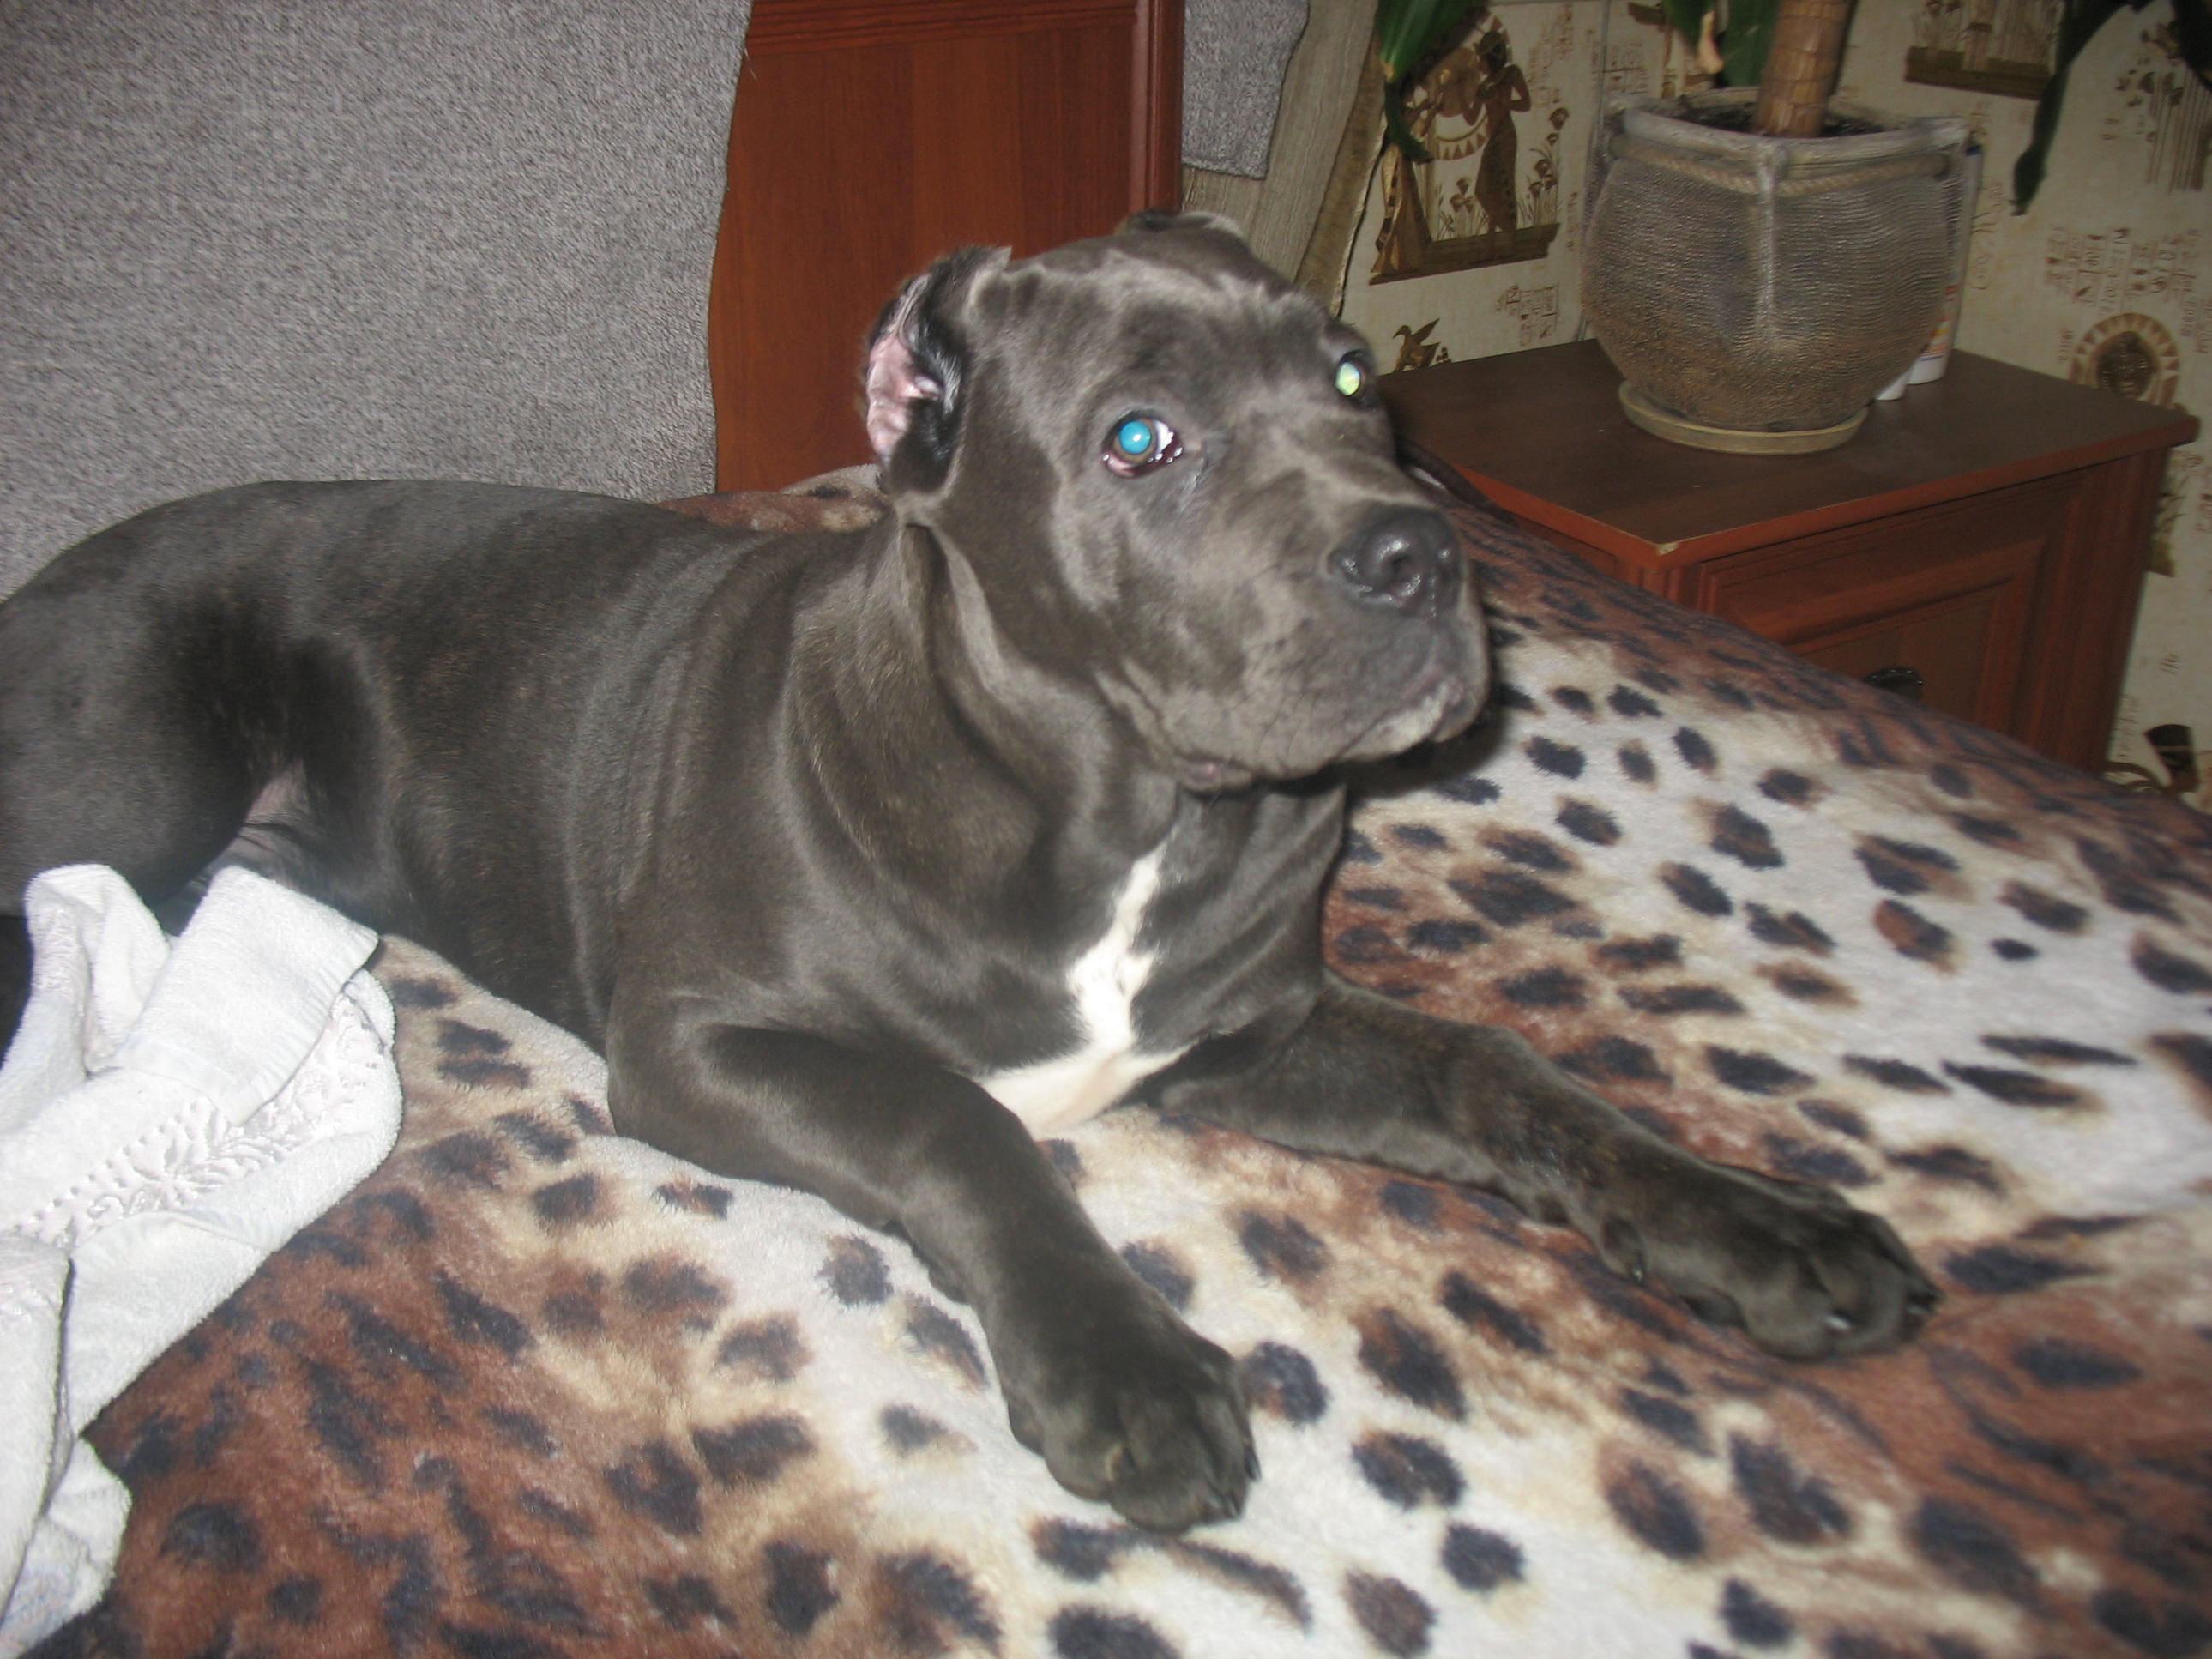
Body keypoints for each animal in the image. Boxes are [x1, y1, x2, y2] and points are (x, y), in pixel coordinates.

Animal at [0, 214, 1935, 1532]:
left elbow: (1497, 1067)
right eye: (1140, 439)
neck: (1121, 804)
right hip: (127, 778)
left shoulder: (1252, 1030)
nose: (1419, 552)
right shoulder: (701, 1041)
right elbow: (961, 1121)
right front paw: (1122, 1364)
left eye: (1352, 382)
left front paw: (1759, 1225)